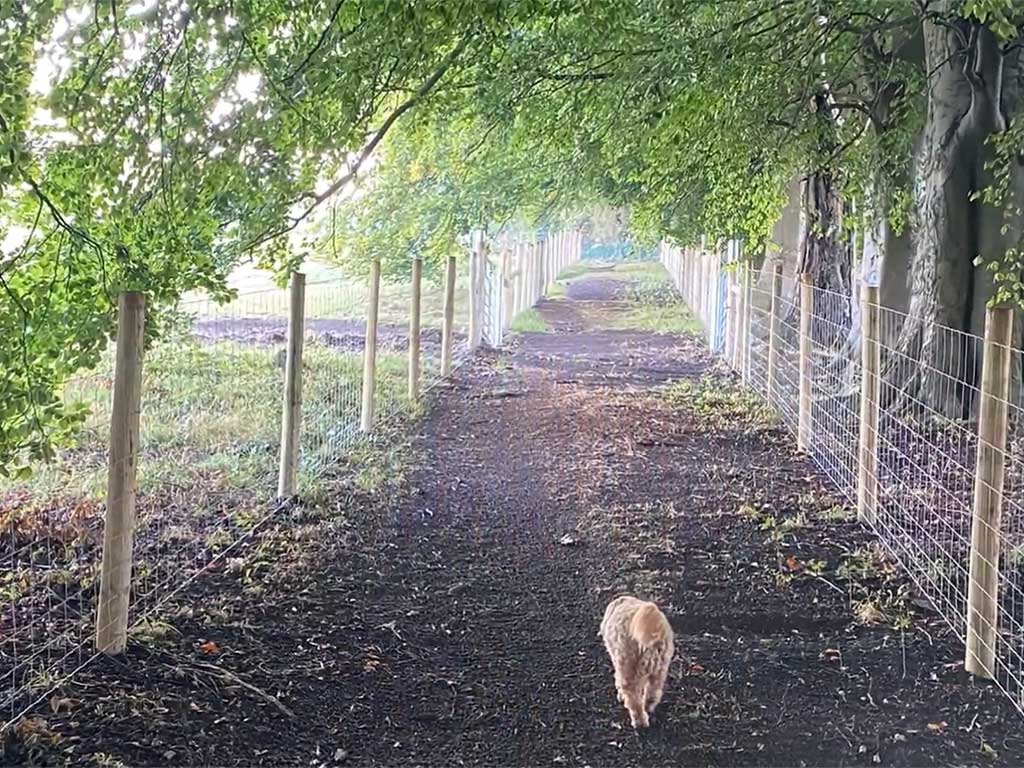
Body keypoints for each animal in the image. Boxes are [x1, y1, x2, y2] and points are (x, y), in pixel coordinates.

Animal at [599, 595, 674, 729]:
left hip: (629, 668)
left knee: (634, 701)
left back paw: (639, 722)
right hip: (660, 669)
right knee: (653, 692)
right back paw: (648, 707)